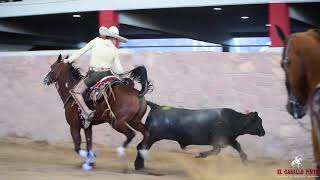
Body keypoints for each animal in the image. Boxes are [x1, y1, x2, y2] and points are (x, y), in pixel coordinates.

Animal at [134, 102, 264, 169]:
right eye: (258, 122)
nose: (263, 132)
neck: (233, 120)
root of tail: (157, 106)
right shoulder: (219, 140)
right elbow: (217, 150)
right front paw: (200, 154)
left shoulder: (229, 140)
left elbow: (238, 147)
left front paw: (245, 161)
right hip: (152, 136)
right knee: (141, 147)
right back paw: (139, 166)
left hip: (151, 137)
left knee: (141, 147)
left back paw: (140, 165)